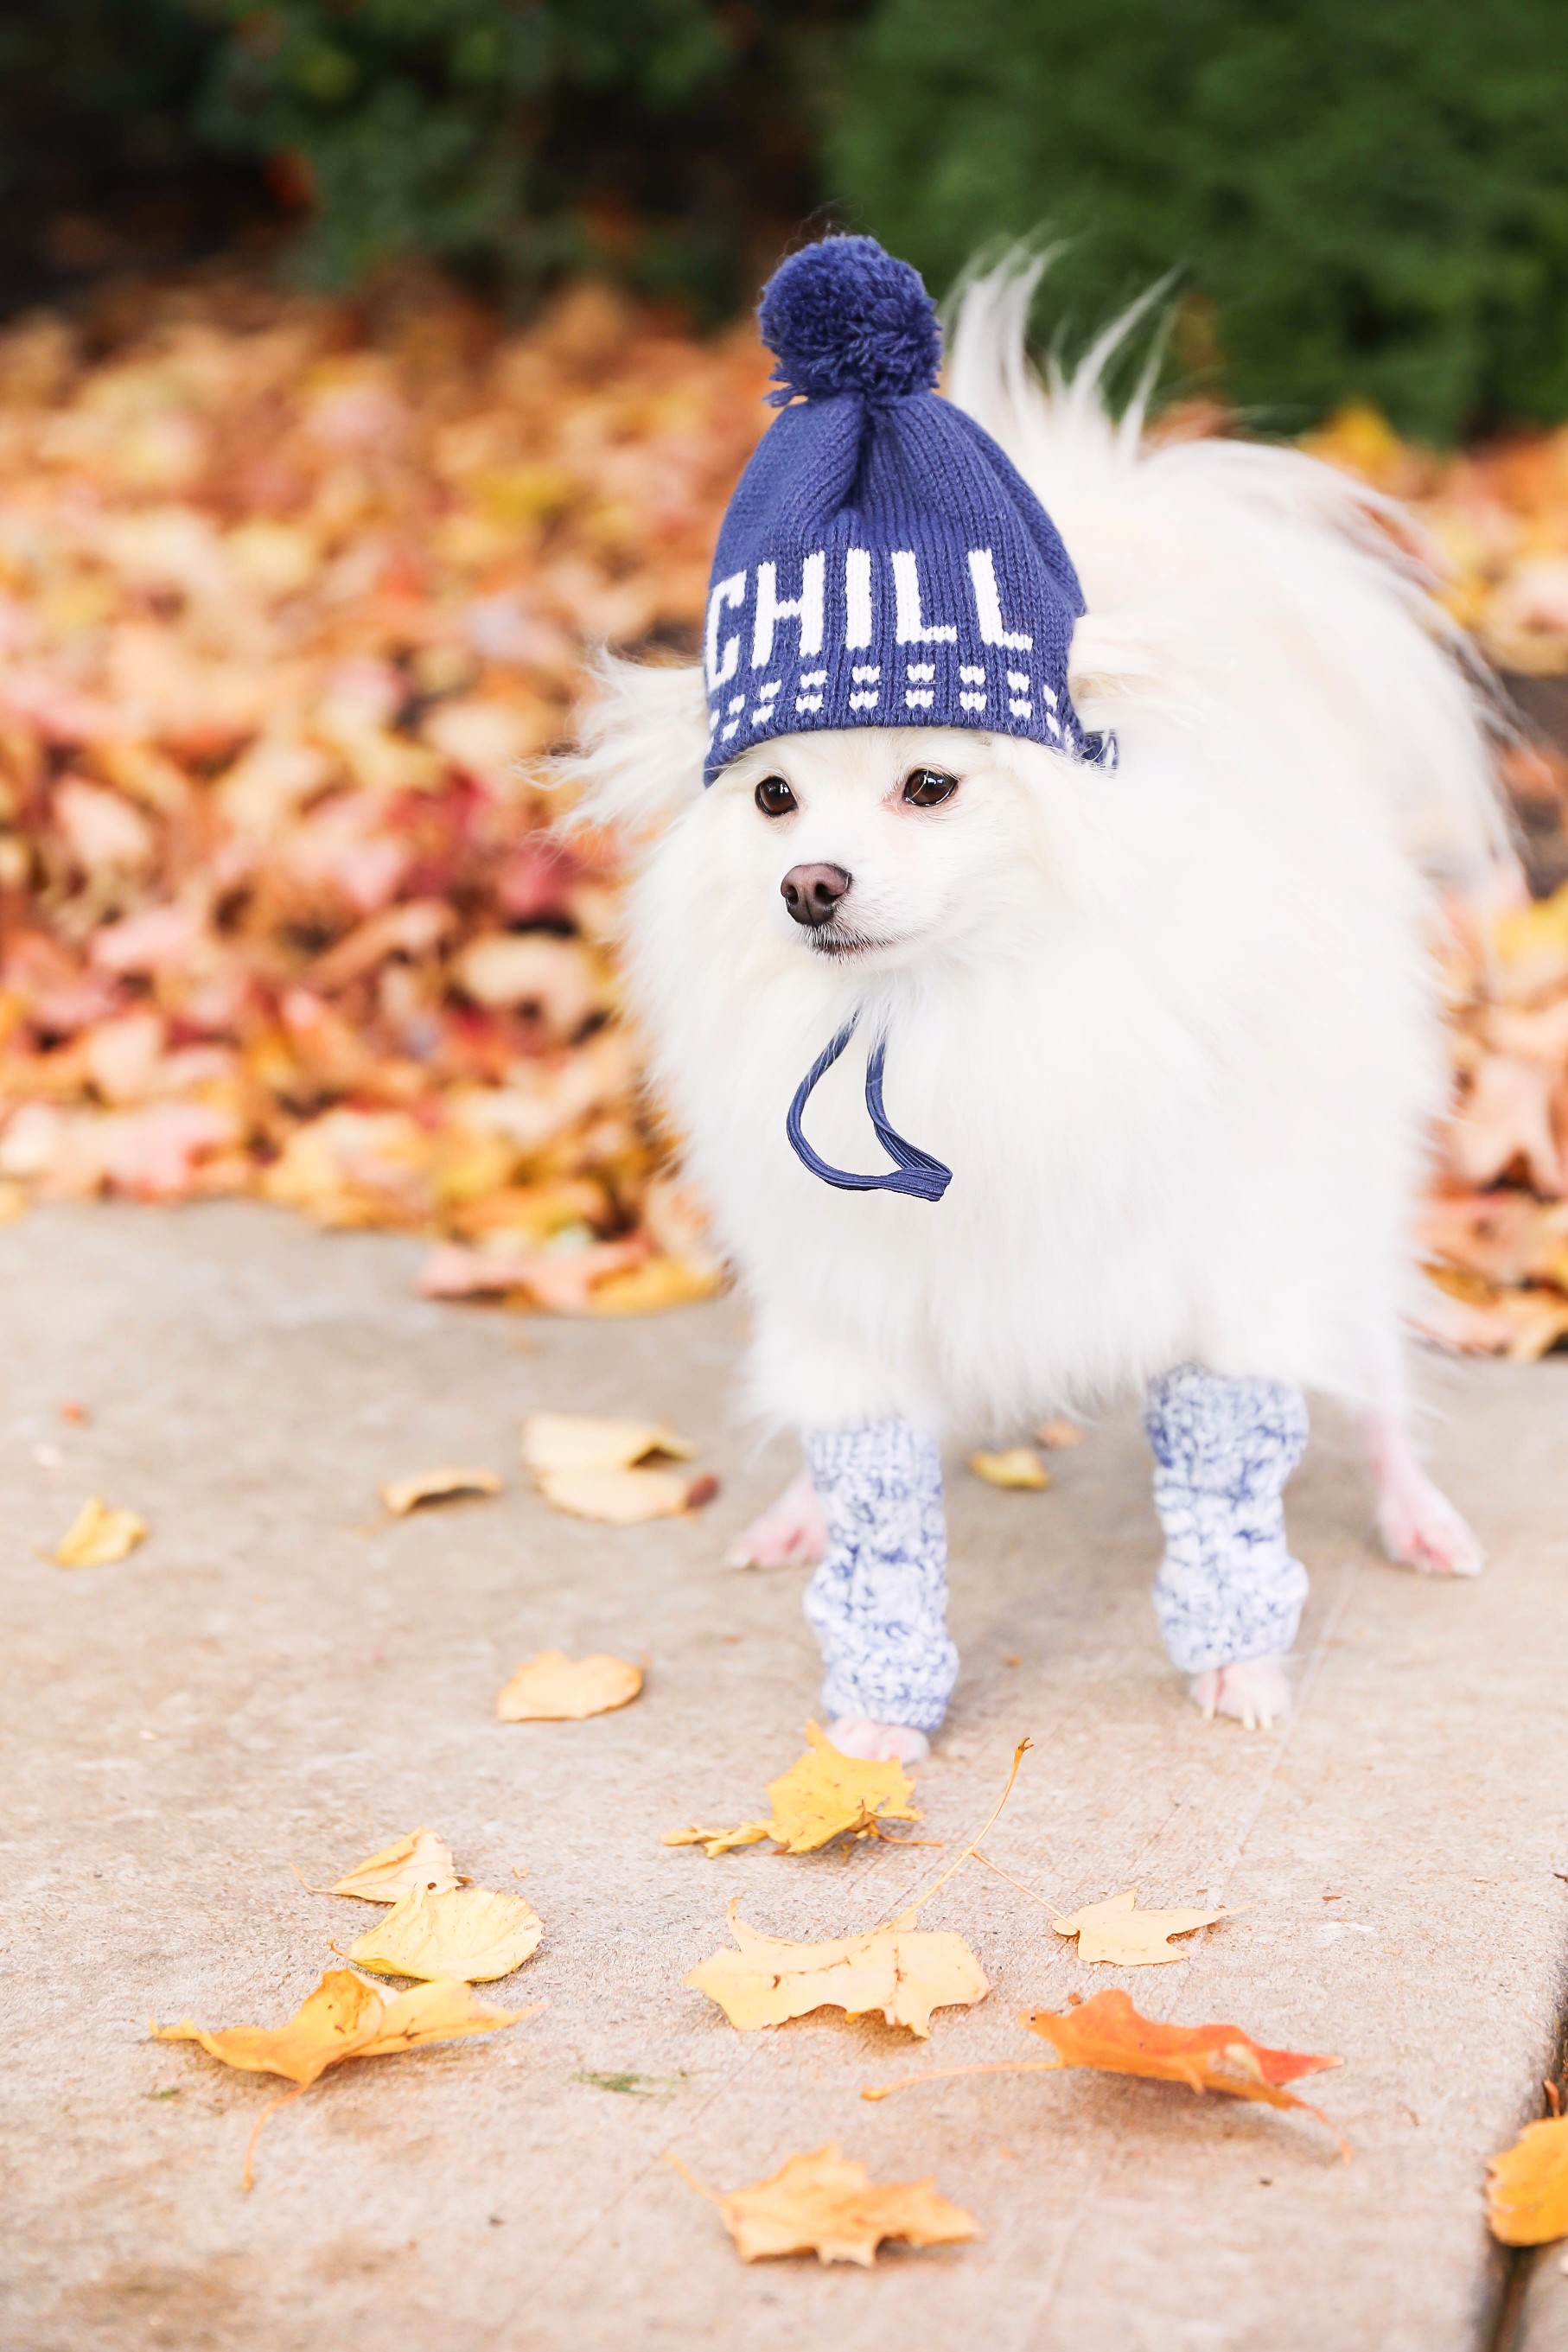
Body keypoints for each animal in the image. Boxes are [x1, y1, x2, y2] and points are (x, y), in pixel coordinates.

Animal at [564, 239, 1504, 1769]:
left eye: (929, 785)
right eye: (772, 798)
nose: (808, 884)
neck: (946, 1008)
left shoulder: (1230, 1265)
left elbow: (1230, 1479)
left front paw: (1239, 1665)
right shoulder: (857, 1296)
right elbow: (880, 1499)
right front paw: (871, 1719)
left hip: (1336, 1193)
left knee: (1368, 1357)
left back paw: (1414, 1508)